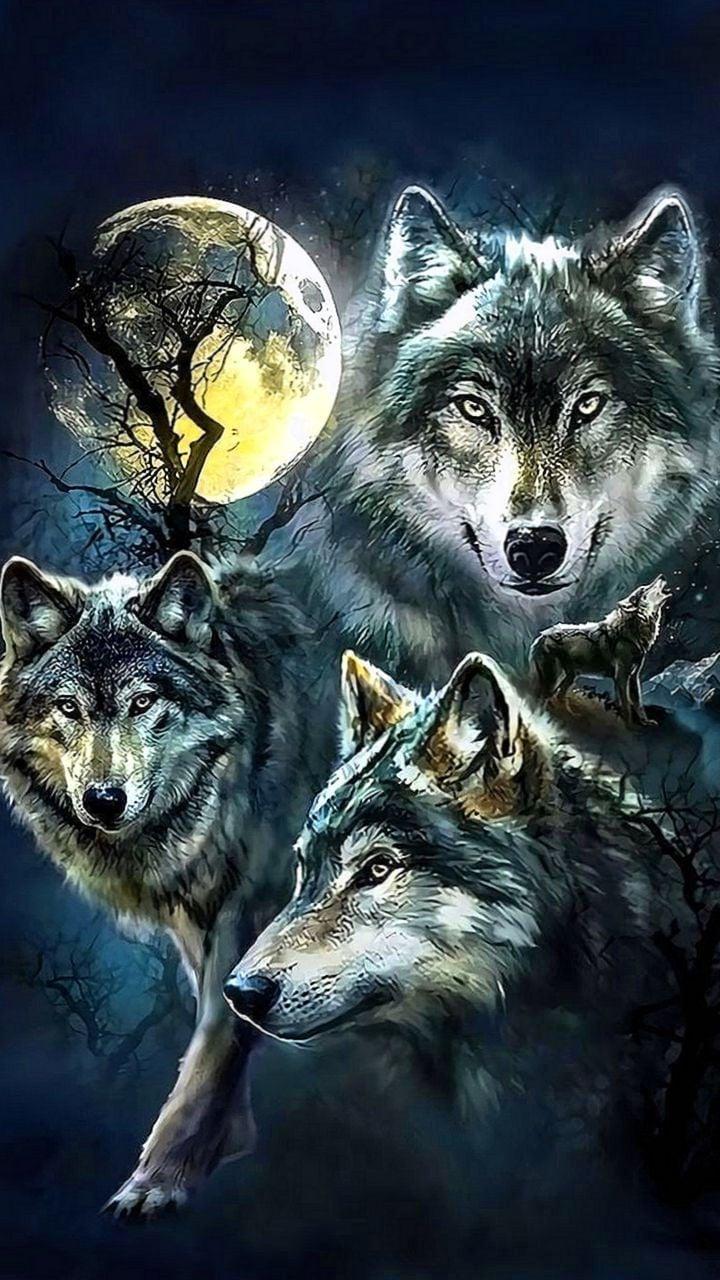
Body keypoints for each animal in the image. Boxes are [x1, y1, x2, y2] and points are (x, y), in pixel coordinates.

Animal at [0, 550, 319, 1218]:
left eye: (144, 701)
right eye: (68, 707)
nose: (104, 801)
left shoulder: (257, 901)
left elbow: (218, 1031)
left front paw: (163, 1175)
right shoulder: (200, 914)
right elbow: (218, 1016)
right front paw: (223, 1139)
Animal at [530, 575, 671, 726]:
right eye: (645, 589)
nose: (662, 576)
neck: (631, 632)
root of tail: (541, 636)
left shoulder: (633, 677)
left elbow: (637, 703)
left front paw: (645, 722)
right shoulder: (621, 677)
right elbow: (626, 706)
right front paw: (629, 726)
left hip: (570, 676)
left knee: (560, 696)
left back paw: (572, 716)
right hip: (554, 679)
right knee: (543, 698)